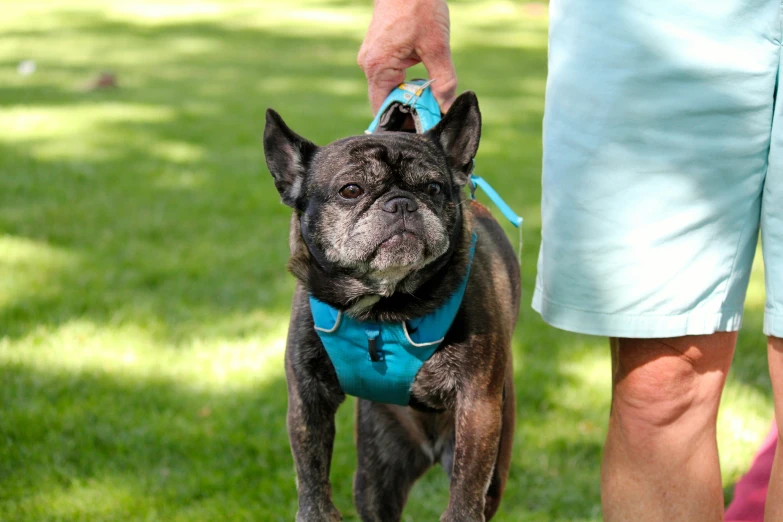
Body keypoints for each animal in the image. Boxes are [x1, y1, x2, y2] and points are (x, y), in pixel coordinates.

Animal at [264, 92, 520, 520]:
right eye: (351, 190)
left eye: (434, 187)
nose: (401, 203)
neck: (384, 308)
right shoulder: (307, 395)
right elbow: (310, 467)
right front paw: (316, 511)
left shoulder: (479, 406)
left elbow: (466, 488)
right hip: (376, 472)